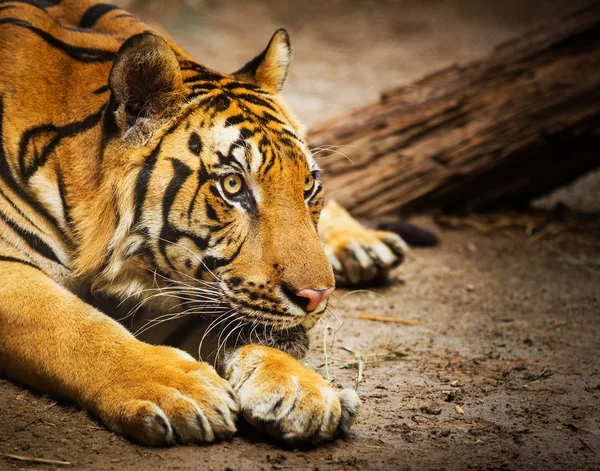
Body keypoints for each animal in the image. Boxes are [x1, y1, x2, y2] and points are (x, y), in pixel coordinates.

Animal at [0, 0, 408, 448]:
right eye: (233, 185)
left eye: (308, 186)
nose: (317, 298)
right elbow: (76, 326)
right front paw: (179, 389)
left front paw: (305, 389)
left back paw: (364, 245)